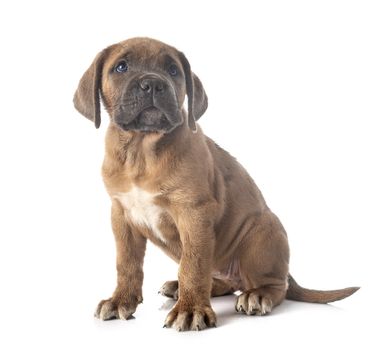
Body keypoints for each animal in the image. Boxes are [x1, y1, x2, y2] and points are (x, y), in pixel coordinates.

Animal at [73, 37, 360, 330]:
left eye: (173, 70)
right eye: (121, 67)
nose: (153, 84)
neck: (142, 150)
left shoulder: (194, 213)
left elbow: (193, 265)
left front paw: (190, 309)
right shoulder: (122, 216)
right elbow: (127, 264)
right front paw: (121, 300)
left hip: (260, 235)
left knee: (275, 286)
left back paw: (257, 295)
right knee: (222, 281)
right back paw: (183, 287)